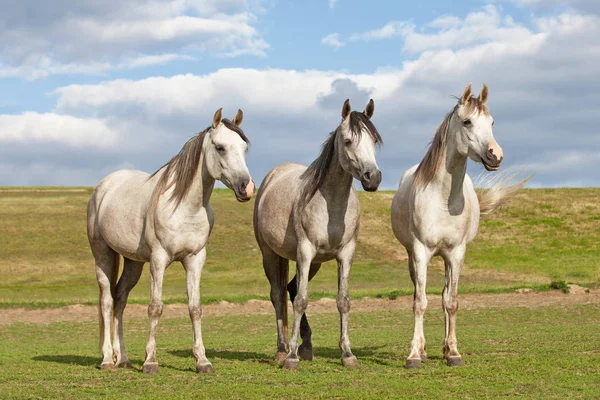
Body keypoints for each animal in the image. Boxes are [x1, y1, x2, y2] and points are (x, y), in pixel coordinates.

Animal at [85, 108, 254, 374]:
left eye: (244, 147)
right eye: (220, 147)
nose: (246, 188)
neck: (184, 207)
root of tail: (104, 187)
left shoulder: (195, 260)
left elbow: (195, 309)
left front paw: (202, 361)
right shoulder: (158, 260)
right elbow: (155, 307)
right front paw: (150, 362)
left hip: (133, 263)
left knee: (120, 299)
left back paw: (122, 358)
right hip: (102, 254)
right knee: (106, 301)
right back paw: (107, 359)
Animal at [255, 99, 382, 368]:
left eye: (374, 140)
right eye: (348, 141)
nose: (373, 178)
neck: (330, 203)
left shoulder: (345, 254)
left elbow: (343, 301)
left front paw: (347, 354)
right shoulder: (305, 251)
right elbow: (302, 300)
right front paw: (291, 357)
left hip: (314, 263)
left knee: (290, 289)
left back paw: (306, 345)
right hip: (270, 254)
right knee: (278, 295)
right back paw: (282, 350)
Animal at [392, 84, 532, 368]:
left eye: (491, 122)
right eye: (467, 122)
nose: (495, 155)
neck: (442, 199)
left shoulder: (457, 254)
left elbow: (452, 302)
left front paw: (454, 353)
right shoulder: (420, 253)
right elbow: (420, 302)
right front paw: (414, 355)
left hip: (447, 259)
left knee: (445, 297)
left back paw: (445, 349)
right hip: (413, 257)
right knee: (419, 295)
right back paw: (423, 349)